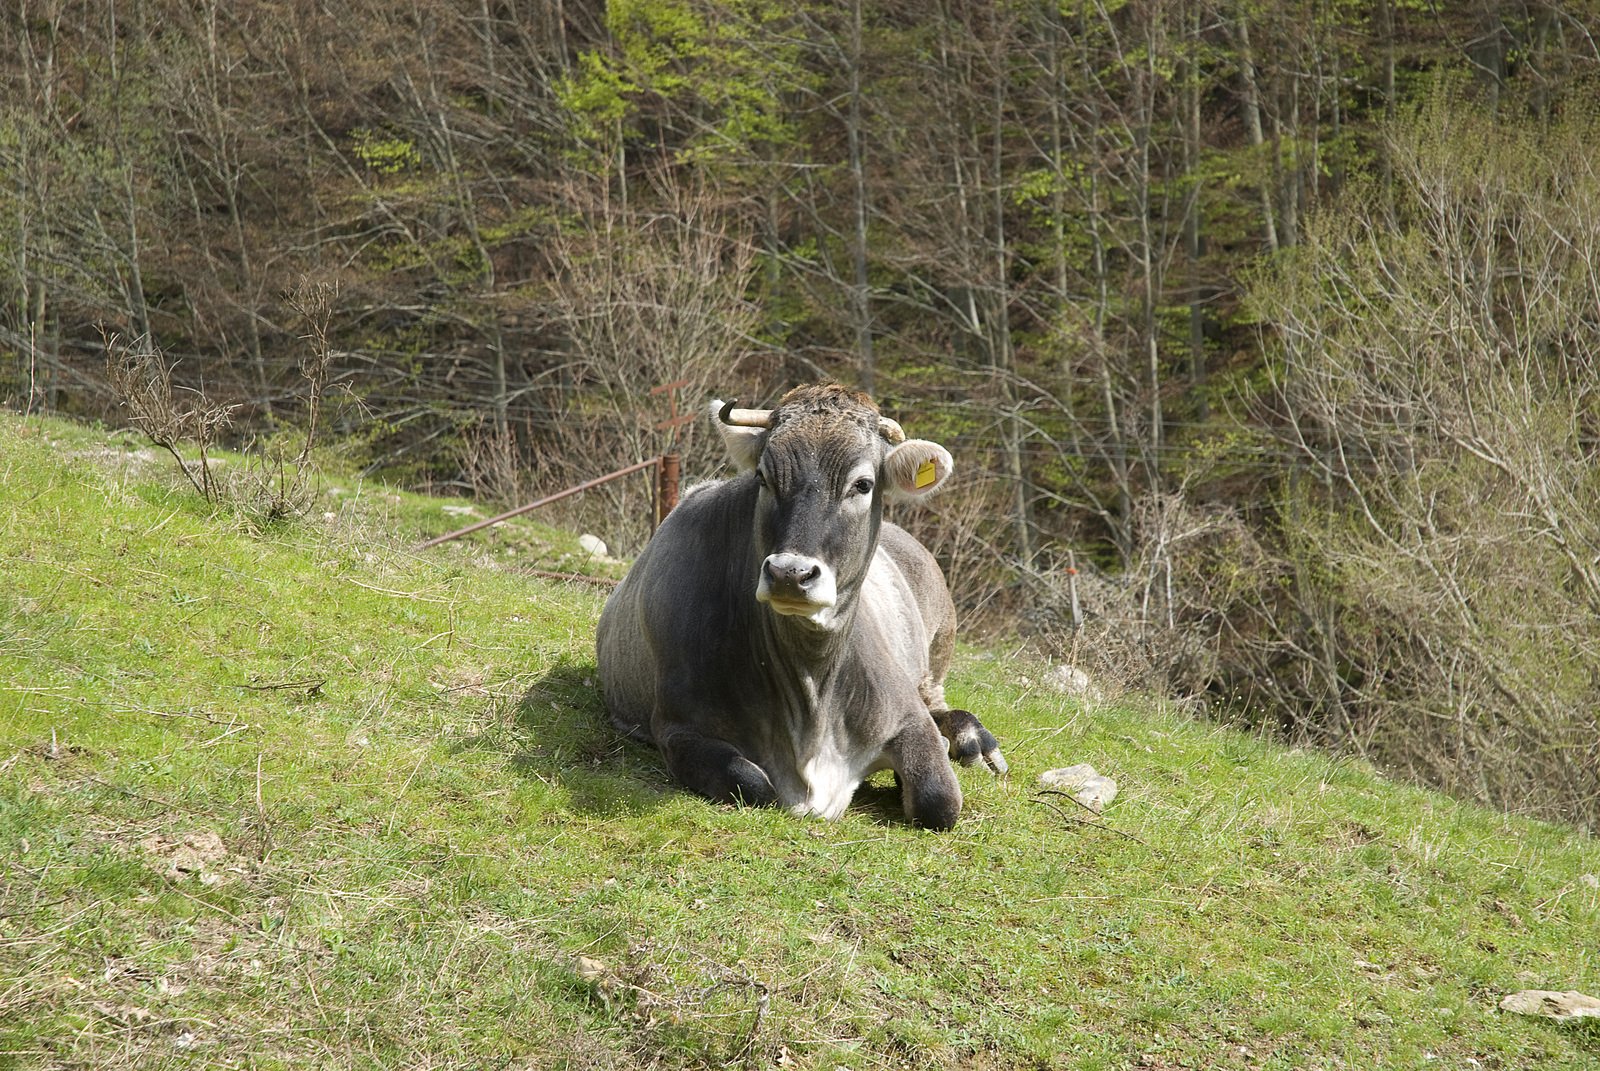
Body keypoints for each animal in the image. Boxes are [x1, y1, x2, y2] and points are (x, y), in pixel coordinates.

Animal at [595, 384, 1004, 826]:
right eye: (763, 477)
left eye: (863, 484)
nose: (790, 573)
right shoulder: (678, 726)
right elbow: (753, 783)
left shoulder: (907, 716)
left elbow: (938, 800)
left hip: (937, 657)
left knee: (939, 705)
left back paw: (971, 740)